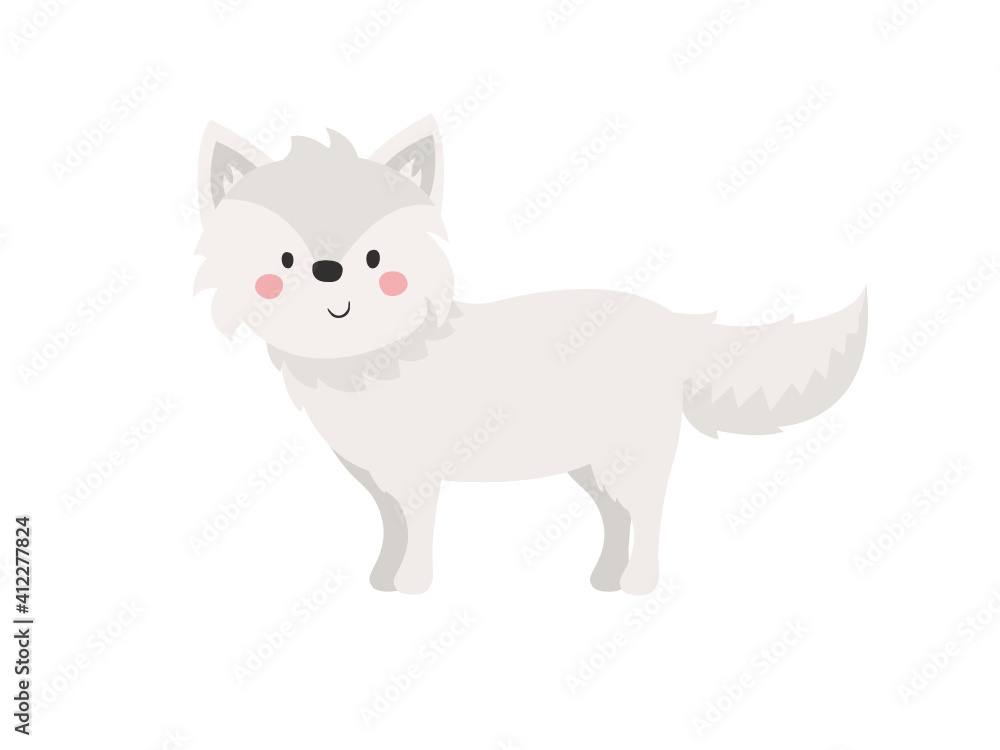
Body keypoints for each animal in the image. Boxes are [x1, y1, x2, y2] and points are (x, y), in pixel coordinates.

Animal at [193, 115, 867, 594]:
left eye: (375, 260)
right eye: (283, 262)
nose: (328, 270)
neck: (376, 359)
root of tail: (668, 322)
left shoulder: (419, 479)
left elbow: (418, 534)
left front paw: (412, 587)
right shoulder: (382, 485)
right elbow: (391, 532)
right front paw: (382, 581)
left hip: (628, 461)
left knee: (648, 519)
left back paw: (638, 585)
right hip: (592, 466)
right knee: (618, 520)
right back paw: (602, 580)